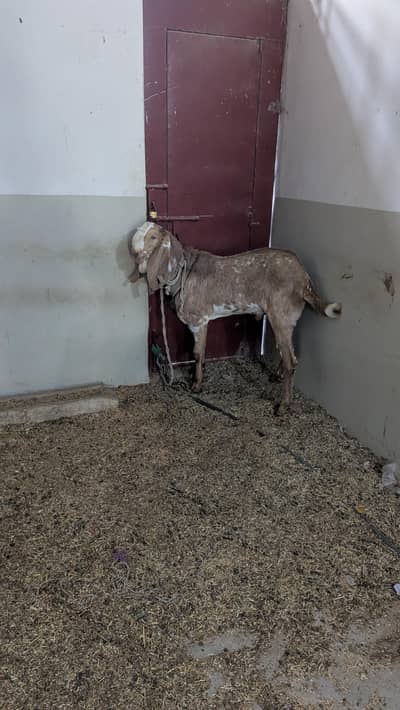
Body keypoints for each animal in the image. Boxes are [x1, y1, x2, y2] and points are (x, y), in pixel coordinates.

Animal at [131, 222, 341, 414]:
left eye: (153, 237)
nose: (135, 251)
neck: (183, 271)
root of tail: (304, 279)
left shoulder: (199, 319)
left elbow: (197, 353)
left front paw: (197, 385)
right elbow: (197, 352)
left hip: (281, 315)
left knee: (292, 361)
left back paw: (283, 405)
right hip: (286, 319)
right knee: (288, 350)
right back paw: (277, 376)